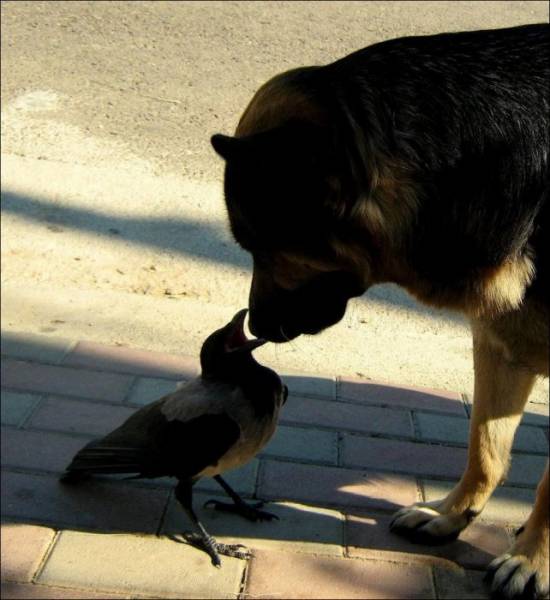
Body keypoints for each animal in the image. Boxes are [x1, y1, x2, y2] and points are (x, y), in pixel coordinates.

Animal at [210, 24, 548, 600]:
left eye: (261, 246)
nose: (254, 326)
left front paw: (532, 561)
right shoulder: (502, 344)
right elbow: (484, 449)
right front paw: (451, 515)